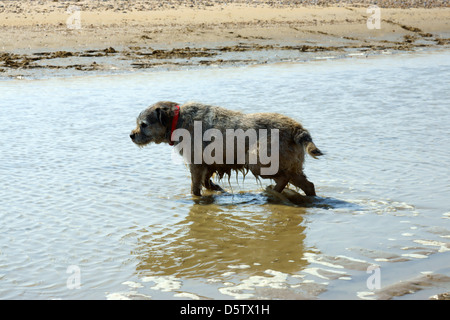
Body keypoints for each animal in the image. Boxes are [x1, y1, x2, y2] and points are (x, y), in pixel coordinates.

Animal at [130, 102, 324, 198]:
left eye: (143, 124)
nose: (131, 135)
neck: (178, 120)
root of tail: (297, 129)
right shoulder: (208, 164)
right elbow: (206, 180)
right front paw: (214, 188)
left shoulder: (196, 164)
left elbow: (195, 185)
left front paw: (194, 198)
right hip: (290, 165)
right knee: (306, 184)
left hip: (258, 160)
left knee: (284, 178)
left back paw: (273, 193)